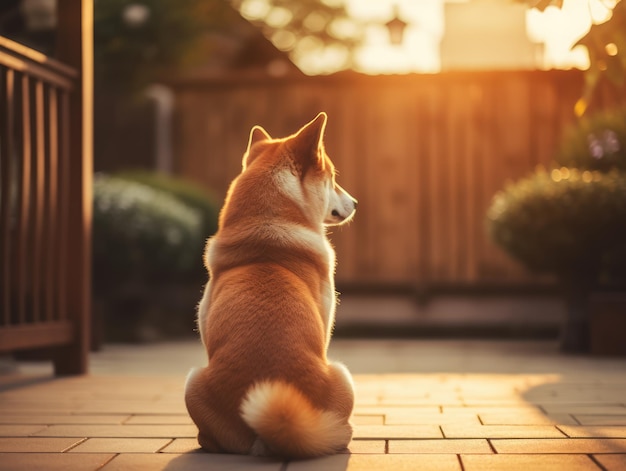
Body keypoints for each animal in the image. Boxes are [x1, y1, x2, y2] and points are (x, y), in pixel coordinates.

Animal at [184, 112, 356, 460]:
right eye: (333, 178)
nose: (356, 203)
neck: (267, 226)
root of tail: (274, 432)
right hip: (343, 374)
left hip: (192, 385)